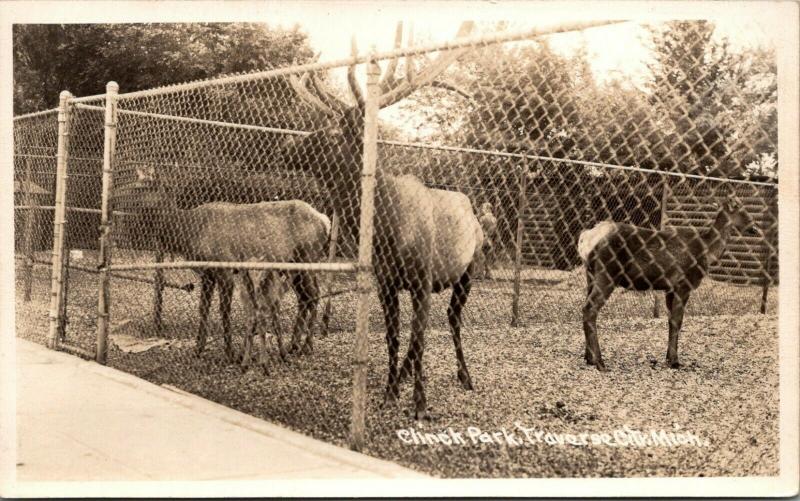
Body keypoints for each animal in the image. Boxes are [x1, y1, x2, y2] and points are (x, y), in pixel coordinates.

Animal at [128, 165, 328, 368]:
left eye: (142, 187)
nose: (123, 202)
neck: (188, 233)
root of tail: (324, 220)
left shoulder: (225, 269)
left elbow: (224, 310)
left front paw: (230, 354)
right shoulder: (207, 274)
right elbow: (203, 308)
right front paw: (198, 349)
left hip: (307, 258)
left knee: (313, 295)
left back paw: (306, 346)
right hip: (293, 268)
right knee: (304, 297)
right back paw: (293, 345)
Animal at [278, 20, 484, 418]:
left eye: (332, 135)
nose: (287, 147)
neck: (390, 228)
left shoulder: (422, 279)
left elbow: (419, 338)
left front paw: (420, 404)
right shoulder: (385, 281)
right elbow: (394, 336)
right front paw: (390, 391)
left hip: (469, 269)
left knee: (452, 319)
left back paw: (466, 376)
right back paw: (406, 376)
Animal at [580, 193, 760, 370]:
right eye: (740, 207)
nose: (755, 227)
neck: (707, 252)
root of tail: (587, 240)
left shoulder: (670, 288)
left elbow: (670, 321)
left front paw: (668, 358)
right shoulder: (684, 284)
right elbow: (677, 321)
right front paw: (675, 361)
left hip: (590, 275)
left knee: (586, 308)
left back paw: (589, 358)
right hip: (607, 274)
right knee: (590, 309)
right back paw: (599, 362)